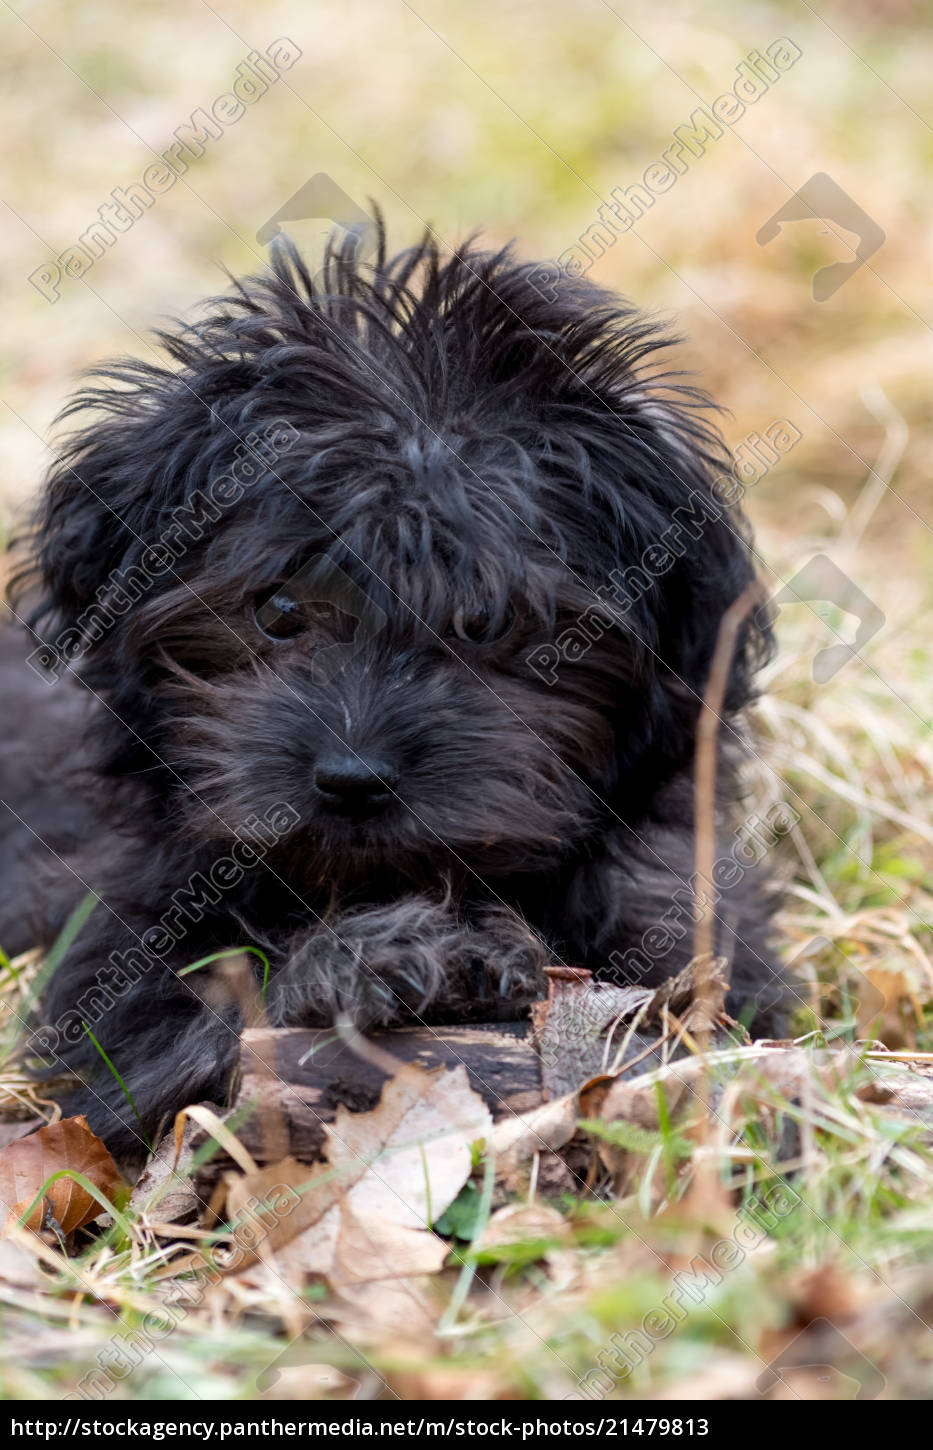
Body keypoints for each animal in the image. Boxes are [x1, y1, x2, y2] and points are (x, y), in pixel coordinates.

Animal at [3, 229, 783, 1154]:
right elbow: (183, 1044)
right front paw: (377, 957)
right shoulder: (114, 961)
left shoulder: (682, 900)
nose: (352, 778)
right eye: (277, 609)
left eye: (487, 620)